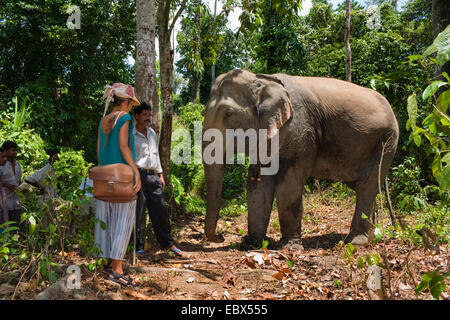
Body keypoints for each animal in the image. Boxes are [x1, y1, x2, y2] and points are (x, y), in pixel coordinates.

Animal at [202, 68, 400, 248]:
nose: (221, 236)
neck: (264, 80)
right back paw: (371, 237)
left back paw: (356, 242)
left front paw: (289, 246)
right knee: (360, 186)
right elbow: (257, 184)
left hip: (386, 142)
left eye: (228, 114)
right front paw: (252, 243)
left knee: (367, 186)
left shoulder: (301, 130)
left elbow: (288, 184)